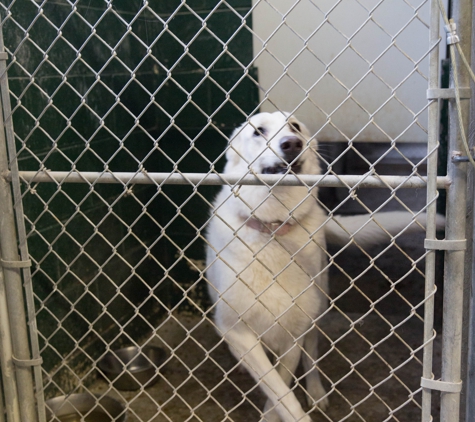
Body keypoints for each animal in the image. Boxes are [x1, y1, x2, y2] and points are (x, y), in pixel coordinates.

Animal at [205, 112, 436, 422]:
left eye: (294, 126)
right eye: (258, 131)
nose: (292, 143)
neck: (273, 229)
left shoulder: (295, 330)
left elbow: (283, 391)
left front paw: (277, 413)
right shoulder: (237, 331)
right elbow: (276, 388)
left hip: (316, 309)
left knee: (311, 356)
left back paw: (315, 392)